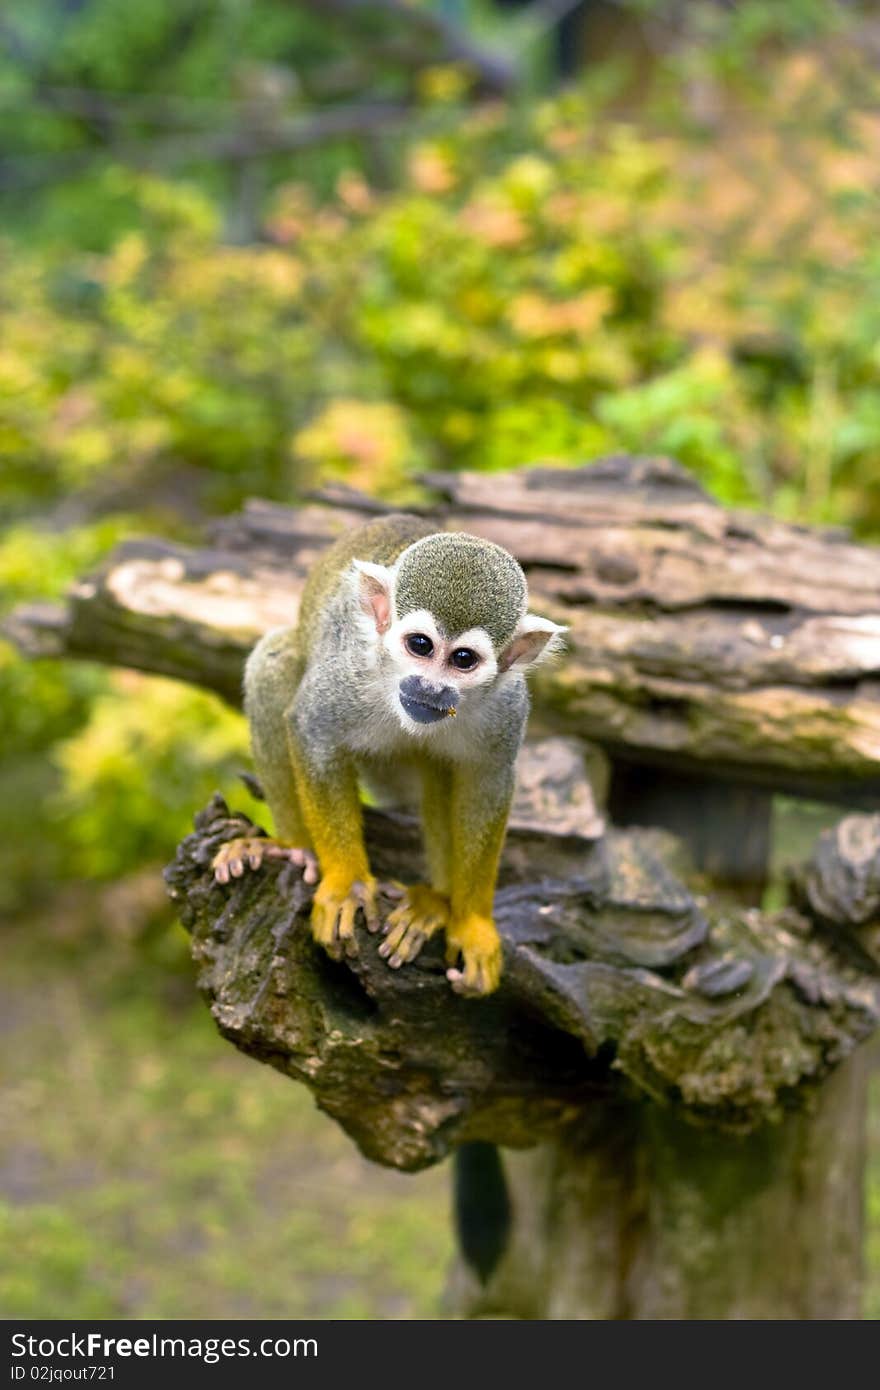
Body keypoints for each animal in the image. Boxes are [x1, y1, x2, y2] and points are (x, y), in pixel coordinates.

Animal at [212, 517, 561, 995]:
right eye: (421, 645)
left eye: (463, 659)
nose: (429, 688)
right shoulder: (350, 672)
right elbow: (312, 729)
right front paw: (347, 885)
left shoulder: (505, 707)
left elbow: (485, 783)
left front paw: (472, 923)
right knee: (274, 661)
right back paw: (293, 849)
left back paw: (433, 903)